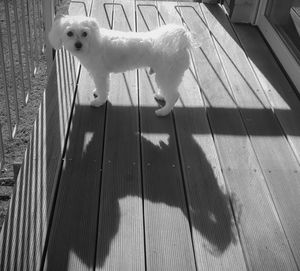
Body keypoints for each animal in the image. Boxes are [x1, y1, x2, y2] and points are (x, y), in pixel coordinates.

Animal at [47, 15, 191, 116]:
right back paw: (161, 95)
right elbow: (100, 88)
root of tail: (182, 44)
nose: (78, 45)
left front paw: (99, 102)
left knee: (174, 96)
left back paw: (163, 112)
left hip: (167, 74)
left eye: (85, 33)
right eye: (69, 33)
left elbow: (103, 89)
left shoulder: (100, 74)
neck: (92, 43)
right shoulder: (97, 74)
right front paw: (97, 92)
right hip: (166, 76)